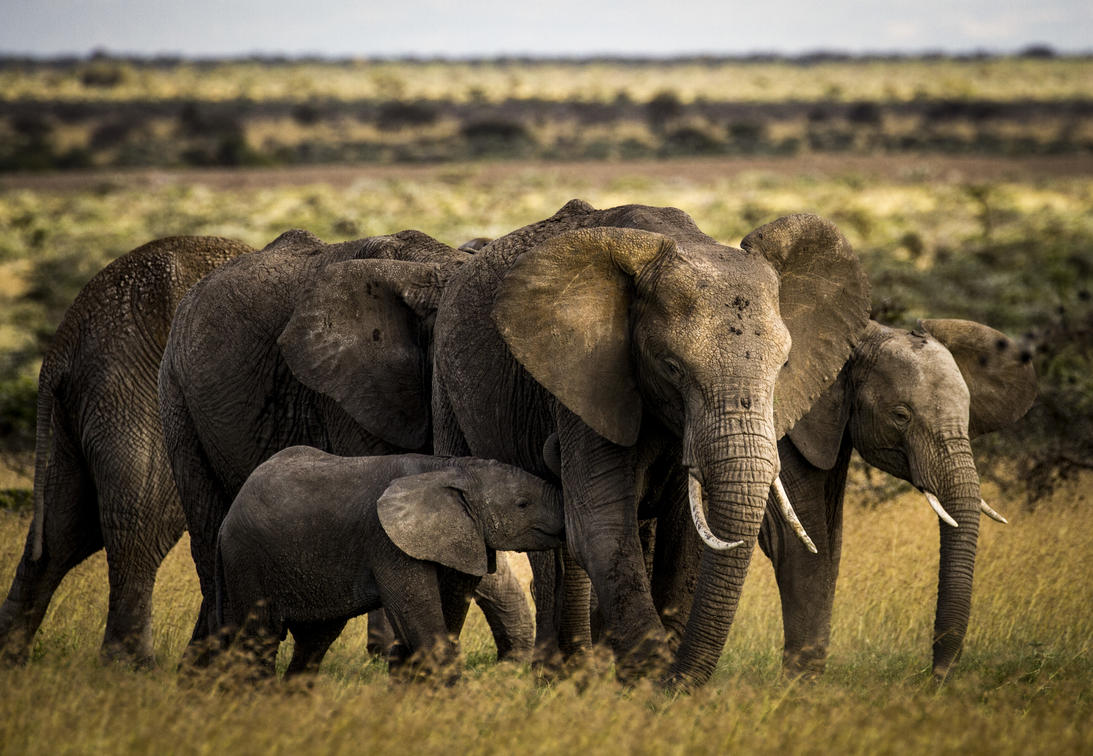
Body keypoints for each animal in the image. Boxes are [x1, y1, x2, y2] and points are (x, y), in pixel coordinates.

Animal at [0, 233, 250, 664]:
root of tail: (64, 339)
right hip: (136, 393)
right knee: (142, 522)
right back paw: (132, 666)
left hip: (84, 409)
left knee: (64, 526)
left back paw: (10, 656)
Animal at [218, 445, 568, 681]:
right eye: (523, 504)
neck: (450, 467)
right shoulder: (388, 543)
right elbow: (422, 624)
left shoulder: (461, 537)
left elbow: (443, 621)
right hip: (244, 558)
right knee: (260, 637)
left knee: (315, 639)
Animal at [430, 198, 865, 686]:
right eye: (672, 367)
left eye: (785, 364)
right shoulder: (588, 375)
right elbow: (601, 526)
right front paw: (649, 680)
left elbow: (688, 531)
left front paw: (657, 681)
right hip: (446, 383)